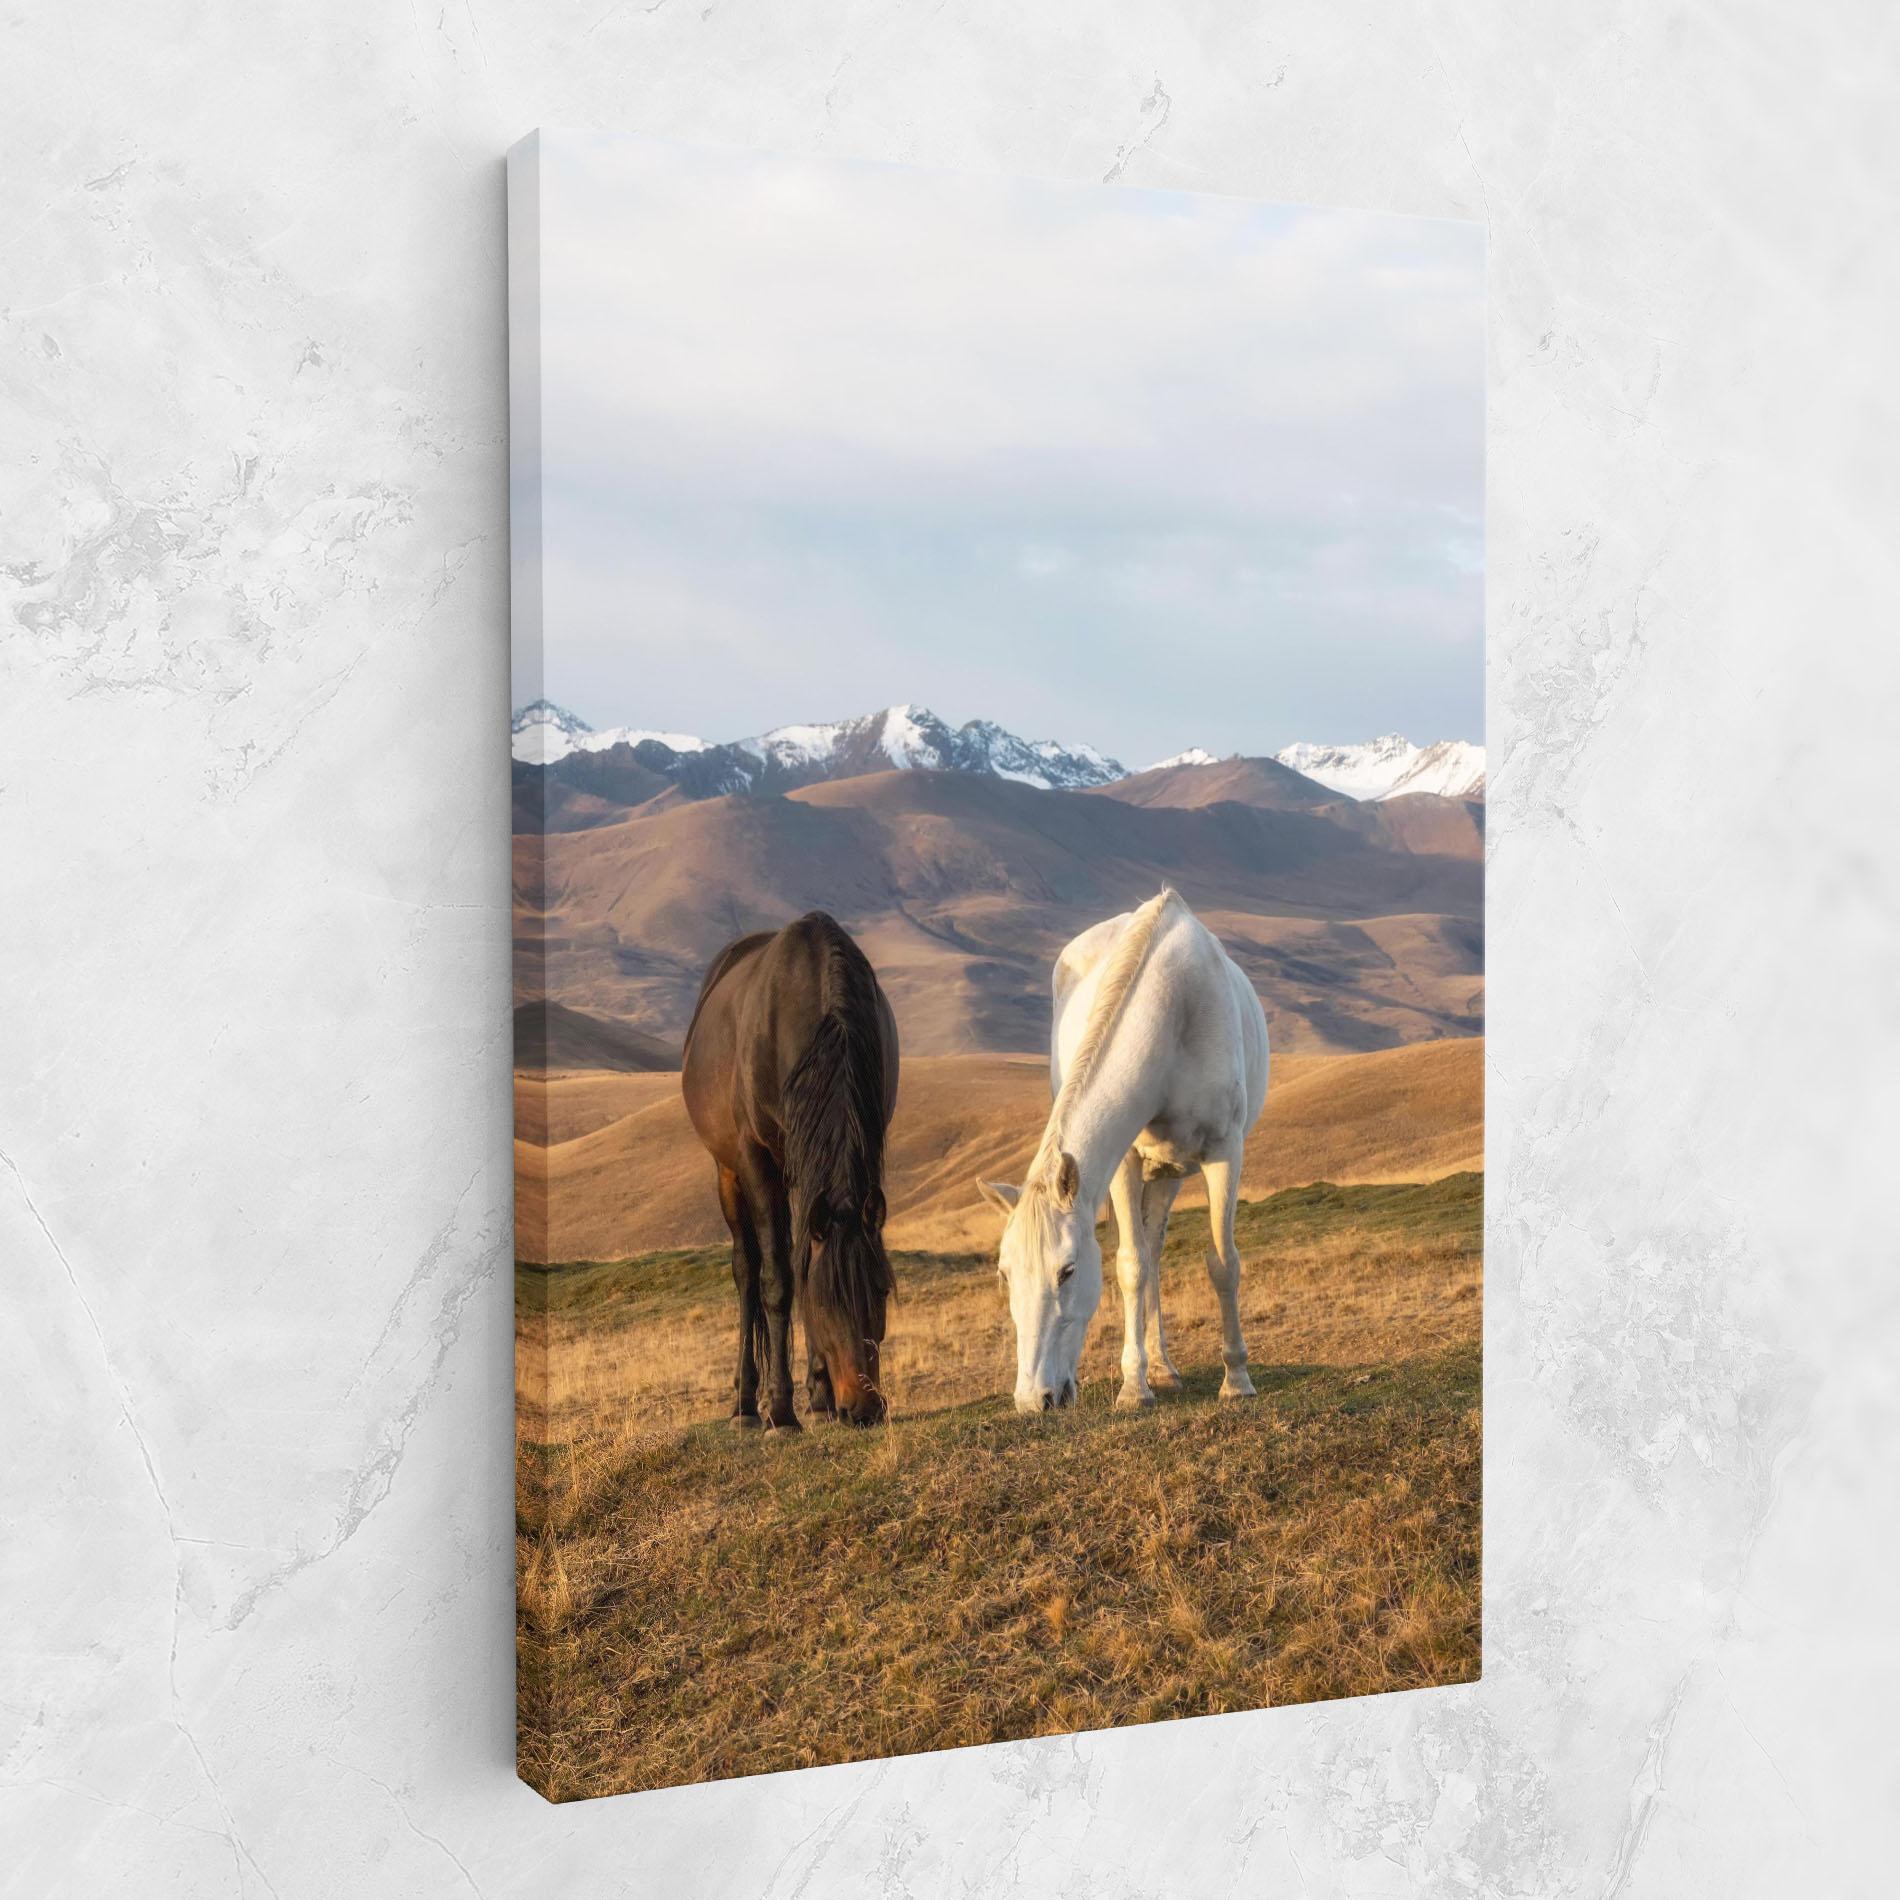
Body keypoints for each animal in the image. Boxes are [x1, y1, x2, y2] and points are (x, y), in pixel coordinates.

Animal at [682, 912, 900, 1429]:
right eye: (823, 1302)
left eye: (882, 1290)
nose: (864, 1409)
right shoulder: (756, 1160)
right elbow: (779, 1280)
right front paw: (782, 1412)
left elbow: (803, 1259)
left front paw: (819, 1398)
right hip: (727, 1172)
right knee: (746, 1272)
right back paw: (746, 1405)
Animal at [977, 887, 1269, 1414]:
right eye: (1005, 1274)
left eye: (1067, 1271)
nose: (1034, 1399)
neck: (1173, 1010)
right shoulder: (1125, 1162)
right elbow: (1131, 1266)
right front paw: (1134, 1387)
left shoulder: (1224, 1152)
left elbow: (1224, 1264)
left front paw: (1237, 1379)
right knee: (1146, 1256)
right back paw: (1155, 1369)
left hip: (1173, 1170)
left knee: (1160, 1250)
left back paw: (1170, 1368)